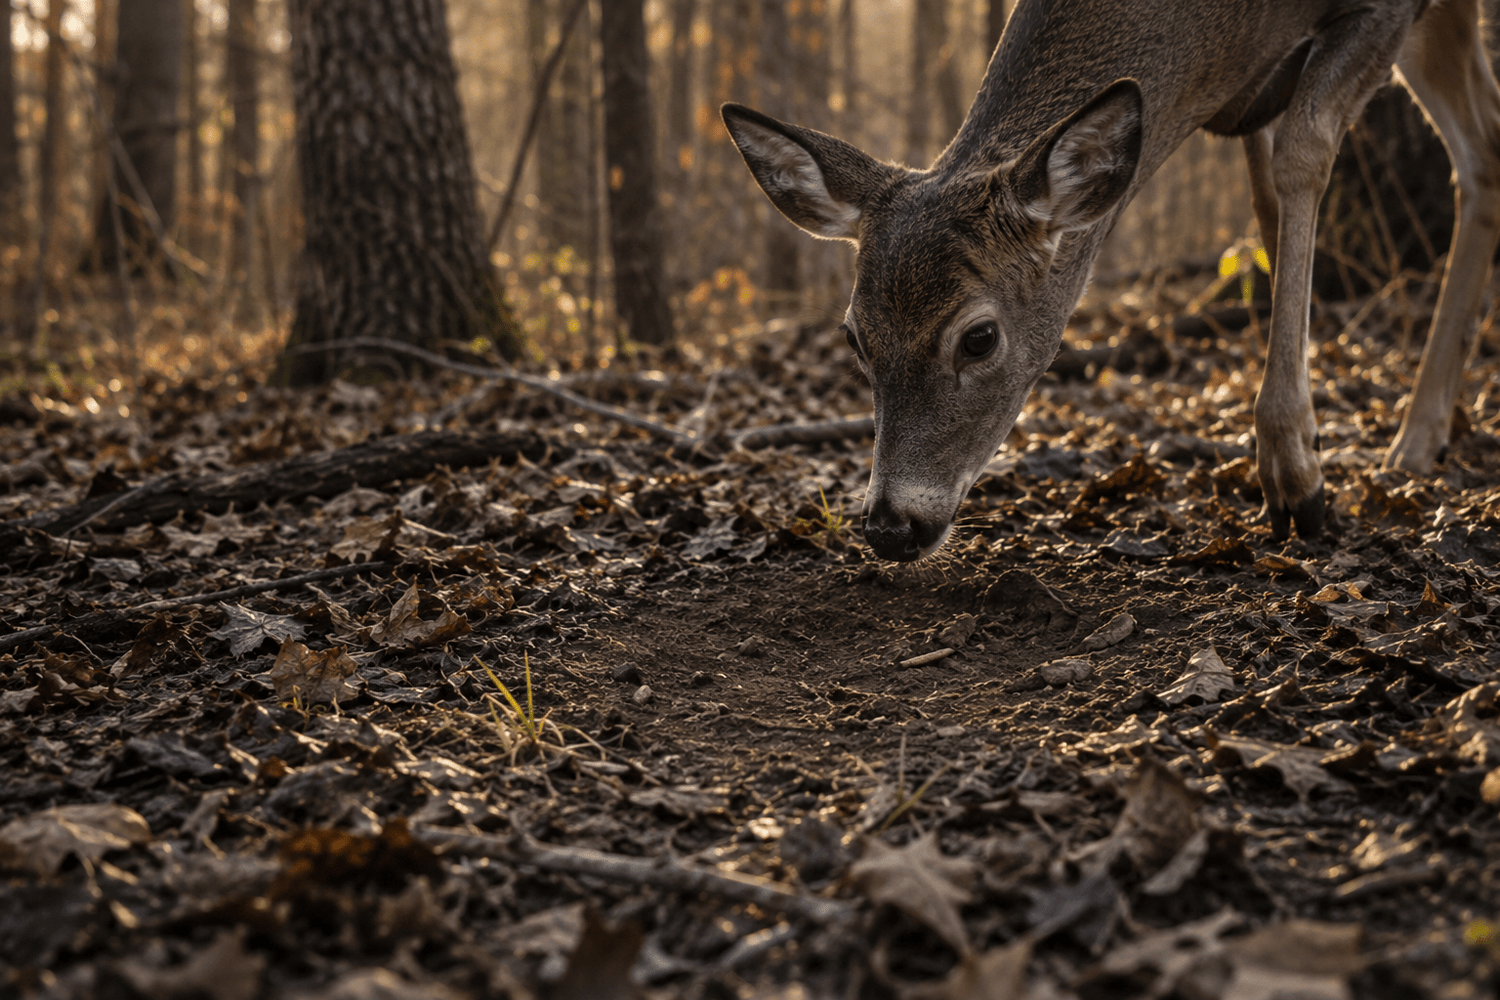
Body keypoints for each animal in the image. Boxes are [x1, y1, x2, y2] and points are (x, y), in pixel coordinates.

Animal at [723, 0, 1500, 562]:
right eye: (856, 338)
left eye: (978, 338)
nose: (890, 527)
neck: (1227, 37)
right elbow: (1266, 209)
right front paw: (1310, 437)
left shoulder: (1384, 10)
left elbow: (1303, 151)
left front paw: (1297, 474)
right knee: (1481, 148)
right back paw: (1422, 434)